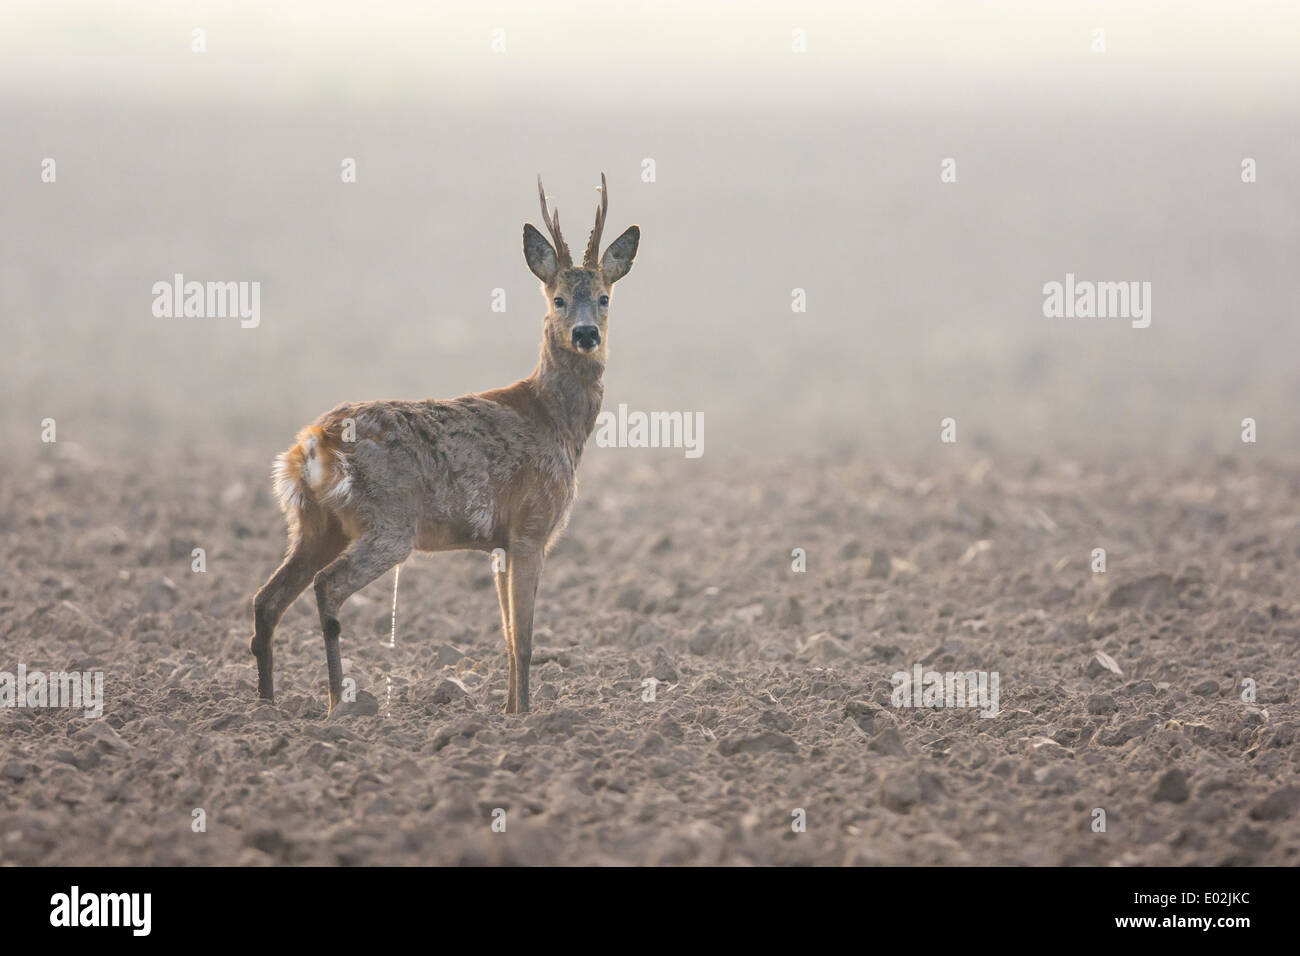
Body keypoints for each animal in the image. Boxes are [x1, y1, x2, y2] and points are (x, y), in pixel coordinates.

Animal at [248, 171, 639, 712]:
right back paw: (336, 702)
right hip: (389, 521)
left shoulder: (500, 542)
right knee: (326, 587)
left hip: (314, 523)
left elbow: (508, 635)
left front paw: (508, 710)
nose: (584, 334)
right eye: (557, 298)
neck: (556, 421)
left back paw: (266, 706)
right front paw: (526, 715)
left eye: (604, 297)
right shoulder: (531, 527)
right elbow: (525, 637)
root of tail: (309, 447)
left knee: (267, 599)